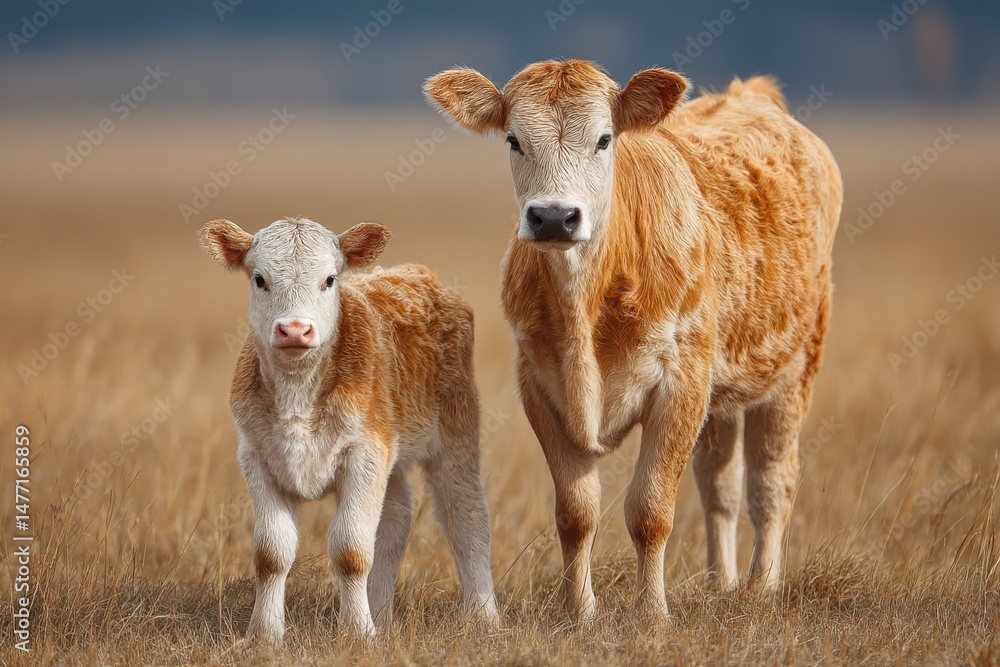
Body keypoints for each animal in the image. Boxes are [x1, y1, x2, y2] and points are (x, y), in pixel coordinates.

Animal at [200, 217, 499, 643]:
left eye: (330, 279)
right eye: (259, 278)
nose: (295, 330)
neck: (299, 393)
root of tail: (419, 274)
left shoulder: (365, 454)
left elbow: (350, 550)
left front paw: (357, 632)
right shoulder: (257, 456)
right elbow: (271, 553)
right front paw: (264, 634)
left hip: (456, 433)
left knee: (466, 515)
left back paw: (483, 616)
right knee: (396, 518)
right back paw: (382, 613)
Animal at [424, 60, 842, 620]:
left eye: (605, 139)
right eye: (513, 139)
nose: (553, 216)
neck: (585, 308)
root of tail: (749, 97)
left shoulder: (680, 385)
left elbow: (650, 509)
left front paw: (651, 613)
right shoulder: (539, 387)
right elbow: (576, 512)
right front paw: (578, 611)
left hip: (793, 368)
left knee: (772, 482)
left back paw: (763, 586)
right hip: (722, 395)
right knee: (720, 485)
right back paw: (721, 583)